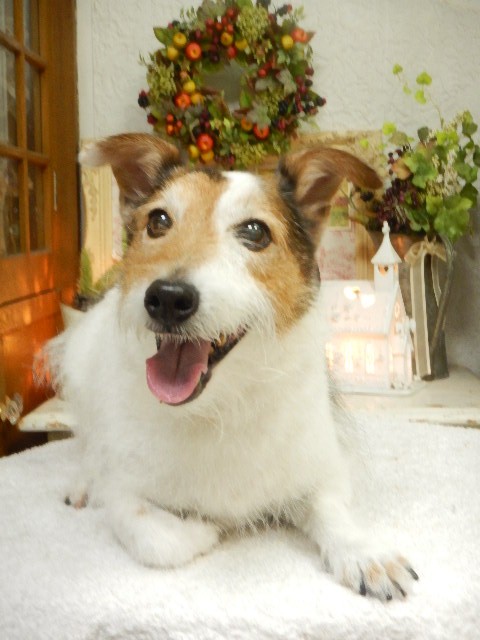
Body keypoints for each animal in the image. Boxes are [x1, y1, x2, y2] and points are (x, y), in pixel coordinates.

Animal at [47, 133, 418, 600]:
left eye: (255, 232)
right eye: (158, 221)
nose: (167, 297)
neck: (219, 406)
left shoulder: (322, 468)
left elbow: (332, 508)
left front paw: (365, 553)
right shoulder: (125, 492)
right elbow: (156, 535)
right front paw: (203, 526)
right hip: (82, 366)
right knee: (91, 441)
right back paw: (83, 482)